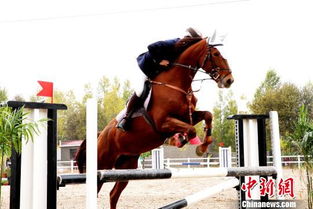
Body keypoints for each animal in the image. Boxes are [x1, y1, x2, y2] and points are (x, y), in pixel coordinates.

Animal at [75, 37, 232, 209]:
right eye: (216, 54)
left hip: (127, 165)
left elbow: (208, 115)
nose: (229, 80)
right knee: (97, 189)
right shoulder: (162, 123)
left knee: (113, 194)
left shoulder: (186, 116)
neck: (176, 83)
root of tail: (100, 135)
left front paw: (203, 144)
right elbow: (191, 130)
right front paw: (187, 143)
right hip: (103, 165)